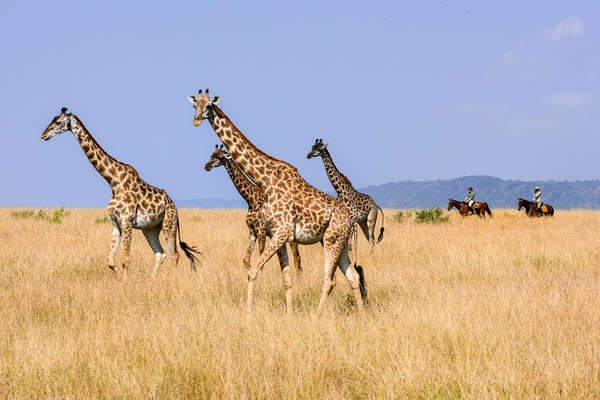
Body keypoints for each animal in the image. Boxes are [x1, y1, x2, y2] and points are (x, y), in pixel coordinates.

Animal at [40, 107, 199, 278]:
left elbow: (125, 261)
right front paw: (118, 278)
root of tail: (174, 207)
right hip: (150, 229)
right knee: (160, 254)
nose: (43, 135)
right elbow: (110, 261)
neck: (114, 181)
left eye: (57, 122)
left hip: (168, 225)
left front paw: (124, 281)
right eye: (52, 119)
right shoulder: (116, 222)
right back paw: (152, 280)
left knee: (174, 255)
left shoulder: (127, 221)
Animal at [205, 145, 300, 274]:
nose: (207, 166)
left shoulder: (261, 230)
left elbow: (260, 261)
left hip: (290, 236)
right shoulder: (252, 230)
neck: (250, 199)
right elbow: (246, 261)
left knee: (297, 259)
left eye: (220, 157)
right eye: (211, 155)